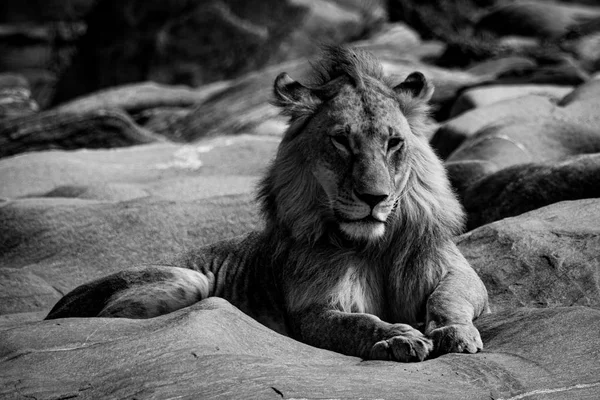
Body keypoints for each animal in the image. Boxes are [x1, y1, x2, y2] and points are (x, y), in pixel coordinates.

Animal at [45, 47, 488, 362]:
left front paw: (454, 332)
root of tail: (56, 307)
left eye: (394, 142)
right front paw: (398, 336)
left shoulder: (457, 272)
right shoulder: (311, 310)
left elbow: (449, 298)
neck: (374, 245)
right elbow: (359, 323)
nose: (374, 198)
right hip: (188, 280)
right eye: (341, 141)